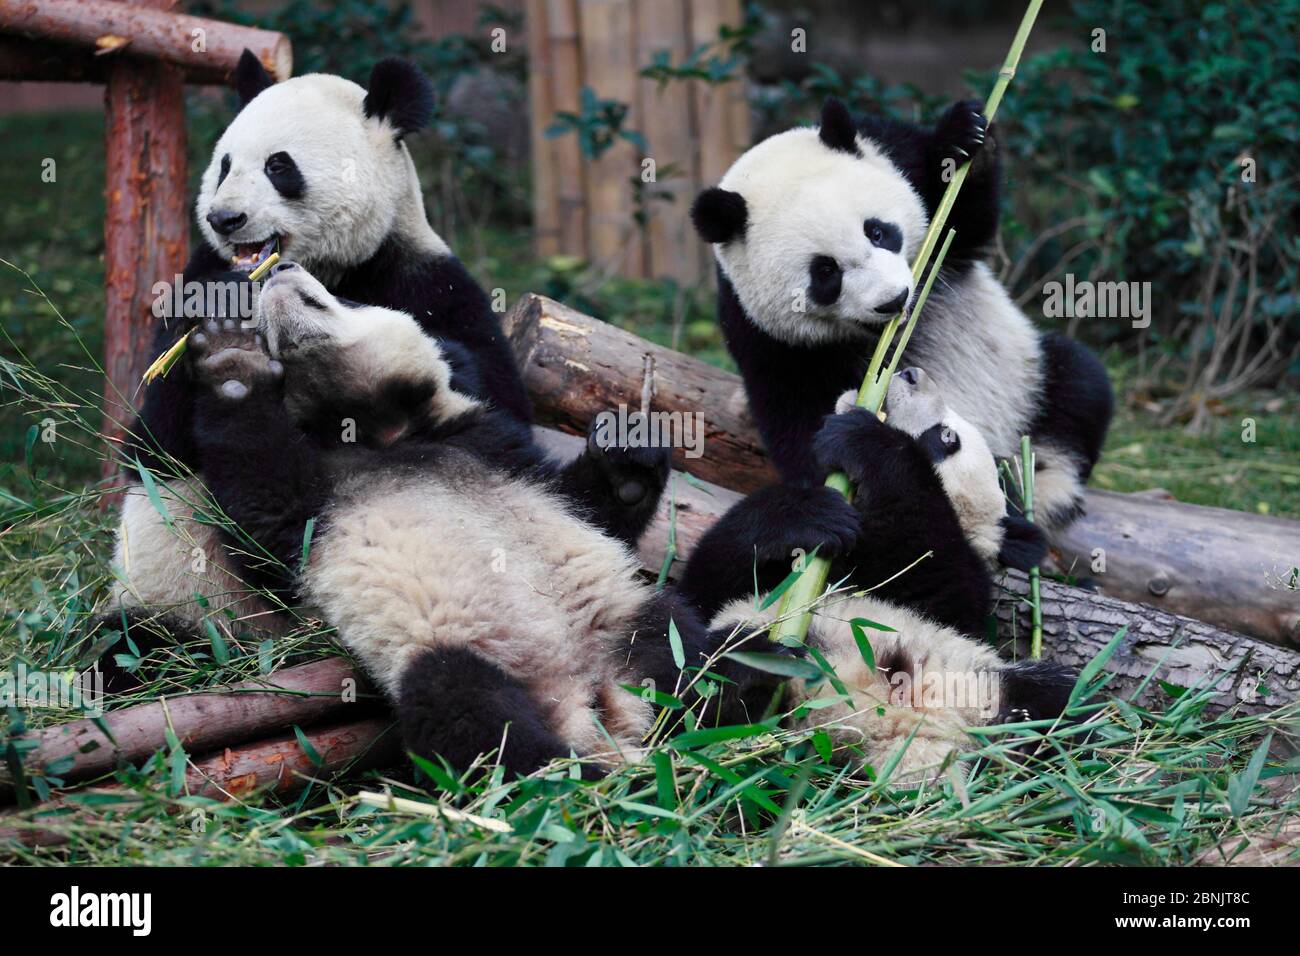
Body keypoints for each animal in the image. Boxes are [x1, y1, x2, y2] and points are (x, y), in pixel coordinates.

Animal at [105, 52, 522, 650]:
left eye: (280, 166)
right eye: (225, 165)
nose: (224, 219)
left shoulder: (423, 274)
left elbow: (491, 394)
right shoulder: (193, 281)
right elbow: (153, 442)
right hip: (171, 600)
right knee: (134, 641)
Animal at [176, 261, 764, 780]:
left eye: (351, 298)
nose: (278, 270)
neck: (371, 430)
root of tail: (594, 704)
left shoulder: (488, 442)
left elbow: (588, 507)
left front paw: (628, 453)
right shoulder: (318, 502)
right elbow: (267, 519)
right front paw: (233, 359)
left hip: (627, 616)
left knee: (703, 653)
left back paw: (752, 696)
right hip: (459, 654)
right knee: (473, 720)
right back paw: (578, 778)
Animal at [676, 369, 1071, 780]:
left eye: (948, 438)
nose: (911, 373)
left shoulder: (956, 603)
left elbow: (926, 551)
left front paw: (865, 438)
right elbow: (704, 589)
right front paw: (807, 516)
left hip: (988, 683)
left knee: (1066, 704)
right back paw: (754, 666)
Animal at [686, 100, 1112, 535]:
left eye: (877, 231)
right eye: (825, 272)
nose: (894, 300)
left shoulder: (896, 156)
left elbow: (963, 224)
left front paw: (967, 139)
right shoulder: (762, 333)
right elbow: (796, 417)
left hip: (1025, 370)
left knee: (1078, 384)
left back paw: (1046, 485)